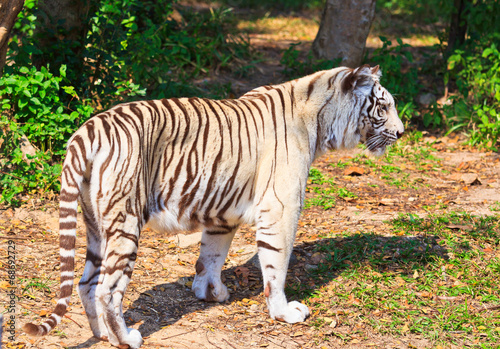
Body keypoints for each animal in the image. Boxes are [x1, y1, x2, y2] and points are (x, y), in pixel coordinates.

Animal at [24, 64, 406, 346]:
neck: (319, 120)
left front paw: (210, 293)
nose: (402, 133)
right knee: (107, 289)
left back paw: (102, 334)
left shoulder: (222, 213)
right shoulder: (281, 208)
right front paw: (284, 312)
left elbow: (211, 255)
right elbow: (276, 267)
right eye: (384, 106)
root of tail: (86, 131)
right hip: (125, 223)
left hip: (94, 227)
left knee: (86, 283)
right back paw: (126, 338)